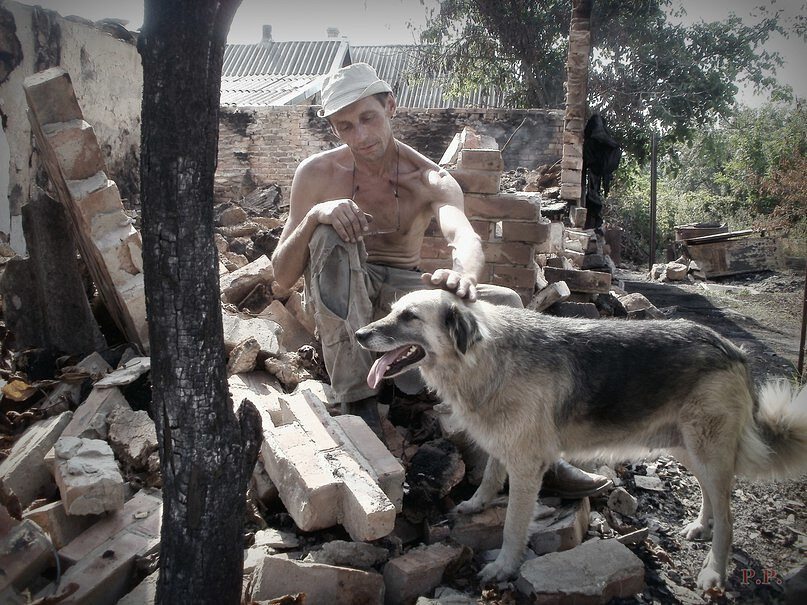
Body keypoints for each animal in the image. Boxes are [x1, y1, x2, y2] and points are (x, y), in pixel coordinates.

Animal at [356, 290, 807, 588]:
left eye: (409, 316)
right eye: (393, 311)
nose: (359, 334)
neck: (483, 357)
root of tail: (732, 348)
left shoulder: (526, 465)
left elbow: (513, 525)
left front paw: (504, 567)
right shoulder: (504, 445)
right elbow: (489, 478)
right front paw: (475, 504)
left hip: (705, 447)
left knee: (729, 518)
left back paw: (714, 570)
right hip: (687, 446)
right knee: (713, 495)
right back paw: (701, 527)